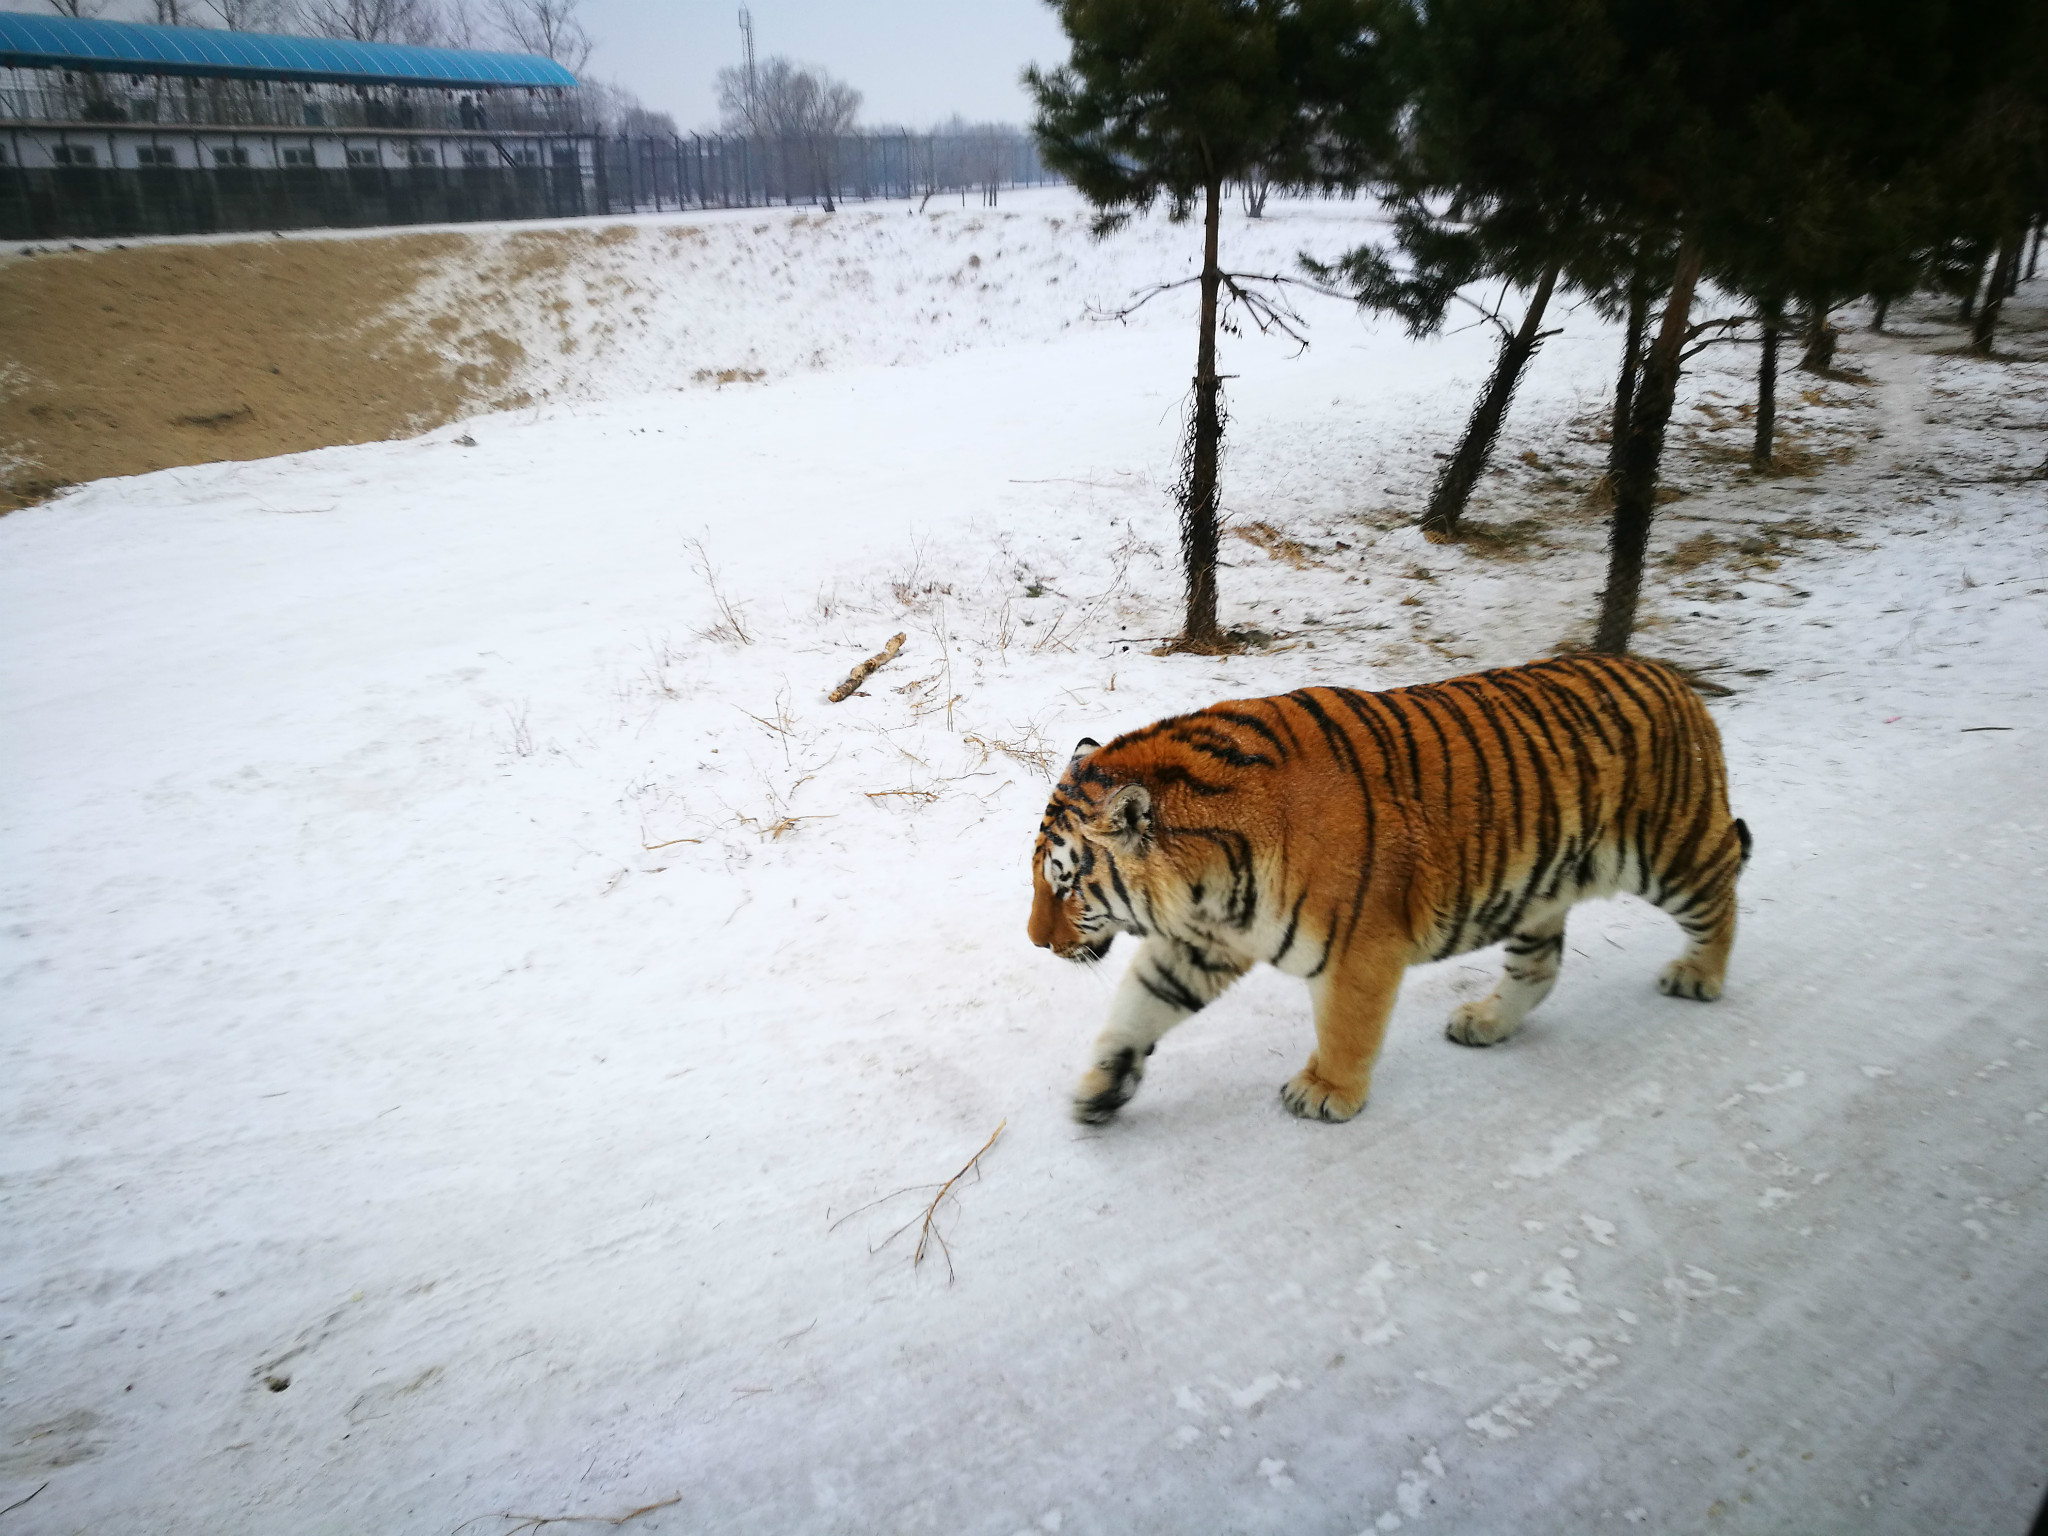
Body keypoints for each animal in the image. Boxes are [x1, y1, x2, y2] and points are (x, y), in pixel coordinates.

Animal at [1032, 655, 1753, 1122]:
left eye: (1065, 887)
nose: (1036, 942)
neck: (1208, 885)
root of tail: (1674, 677)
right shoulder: (1200, 942)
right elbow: (1137, 1010)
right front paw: (1100, 1087)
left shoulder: (1362, 946)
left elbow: (1347, 1025)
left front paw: (1325, 1093)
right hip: (1541, 889)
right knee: (1540, 967)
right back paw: (1485, 1023)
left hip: (1671, 850)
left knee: (1721, 886)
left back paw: (1698, 976)